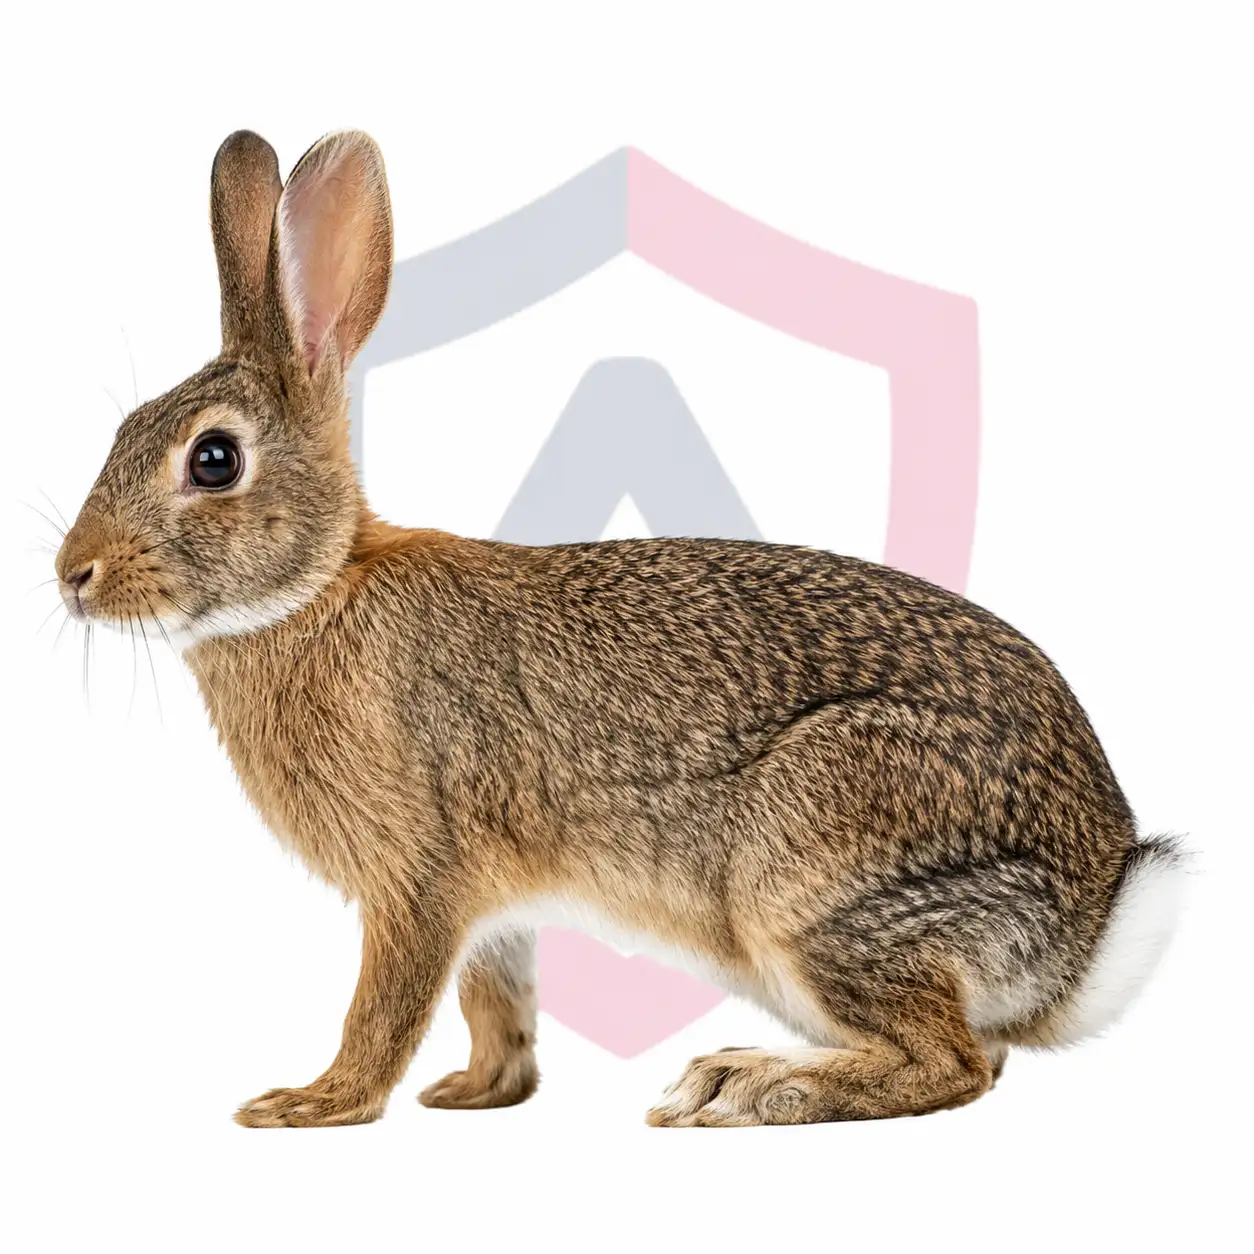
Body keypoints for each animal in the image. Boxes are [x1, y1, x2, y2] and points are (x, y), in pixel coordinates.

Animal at [54, 129, 1187, 1128]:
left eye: (212, 460)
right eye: (121, 432)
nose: (73, 576)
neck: (318, 584)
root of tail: (1093, 918)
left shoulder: (420, 877)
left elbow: (387, 1007)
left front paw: (312, 1104)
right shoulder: (495, 912)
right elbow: (496, 1004)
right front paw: (476, 1096)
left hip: (811, 873)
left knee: (951, 1063)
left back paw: (753, 1087)